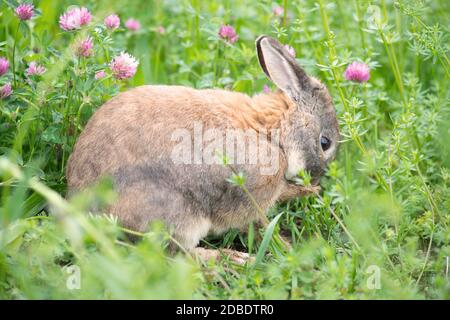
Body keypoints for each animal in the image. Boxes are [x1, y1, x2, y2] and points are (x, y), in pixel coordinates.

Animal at [66, 34, 338, 260]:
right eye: (325, 143)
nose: (315, 179)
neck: (271, 132)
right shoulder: (251, 196)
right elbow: (257, 224)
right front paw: (288, 248)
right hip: (177, 217)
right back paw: (233, 259)